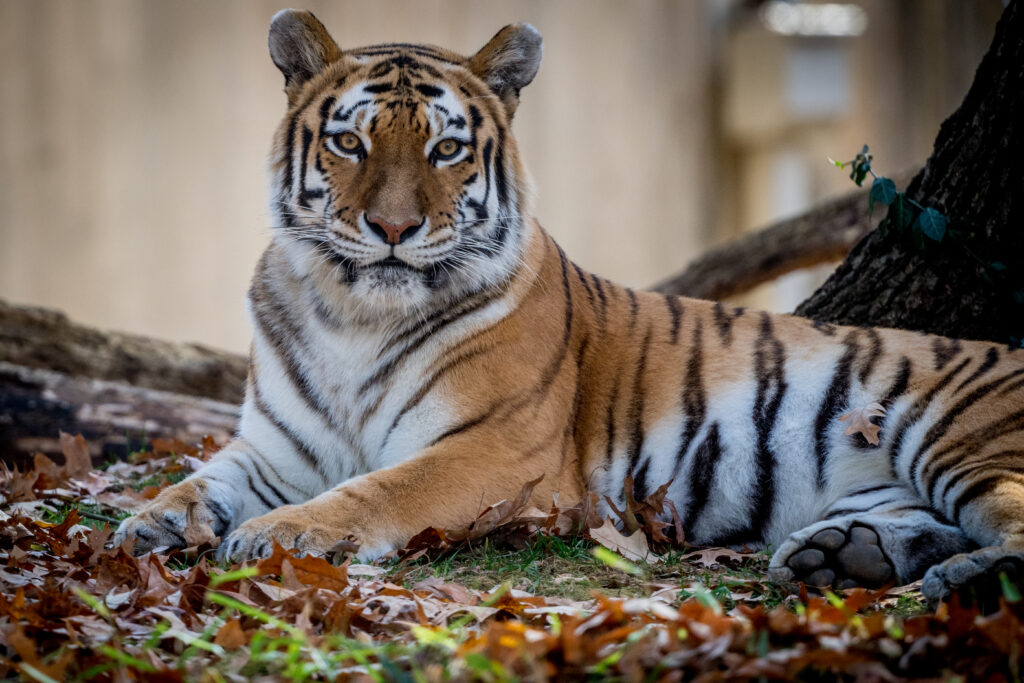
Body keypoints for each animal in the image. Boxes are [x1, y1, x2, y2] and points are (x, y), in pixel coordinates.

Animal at [114, 9, 1024, 605]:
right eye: (349, 142)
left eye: (446, 149)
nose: (394, 229)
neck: (350, 314)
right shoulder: (277, 445)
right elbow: (202, 478)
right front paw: (146, 525)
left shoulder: (494, 450)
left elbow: (375, 491)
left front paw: (281, 534)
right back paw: (839, 558)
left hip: (958, 436)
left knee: (1010, 526)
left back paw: (964, 580)